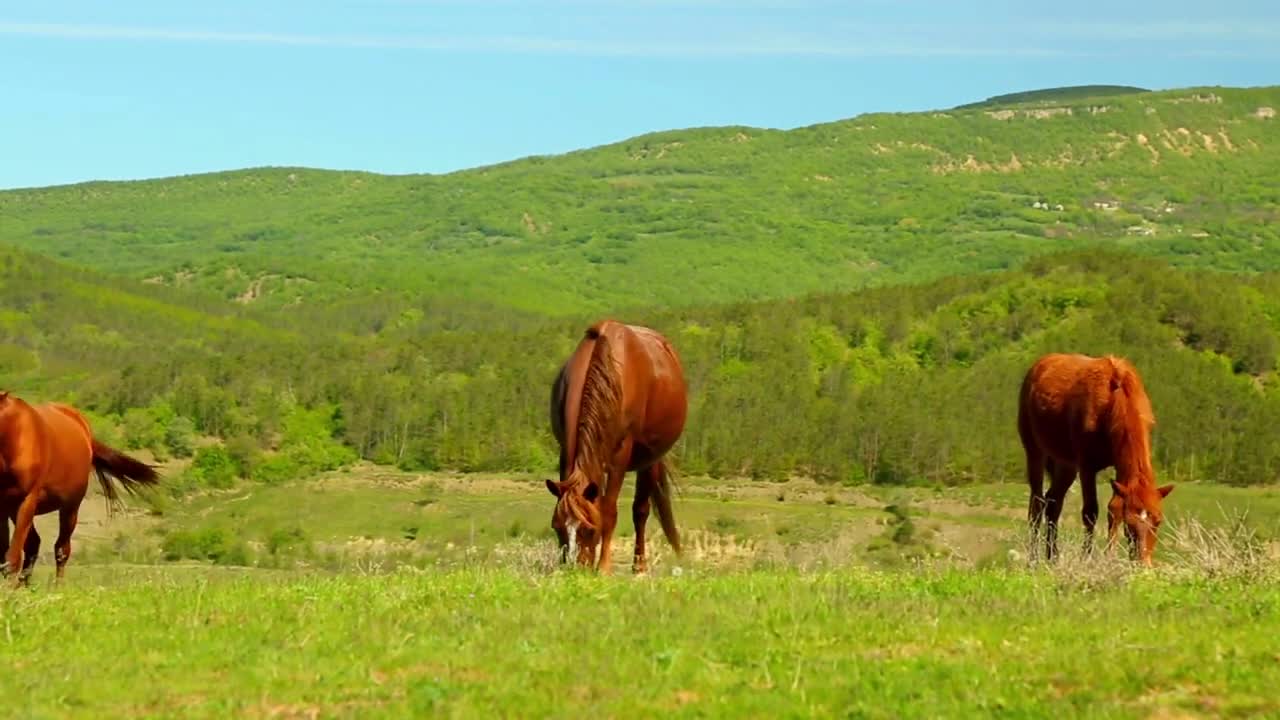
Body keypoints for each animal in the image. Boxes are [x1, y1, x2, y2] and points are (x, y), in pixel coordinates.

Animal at [0, 386, 160, 584]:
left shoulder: (26, 500)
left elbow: (12, 558)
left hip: (70, 507)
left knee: (61, 550)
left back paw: (57, 587)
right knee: (34, 545)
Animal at [550, 319, 691, 571]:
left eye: (589, 529)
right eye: (557, 527)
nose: (574, 569)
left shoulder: (620, 456)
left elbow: (609, 510)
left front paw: (604, 567)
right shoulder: (566, 449)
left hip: (650, 459)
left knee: (641, 510)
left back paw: (639, 566)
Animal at [1013, 351, 1172, 563]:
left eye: (1158, 521)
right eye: (1130, 524)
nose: (1143, 562)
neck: (1114, 401)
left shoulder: (1120, 466)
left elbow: (1114, 507)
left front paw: (1109, 556)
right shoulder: (1087, 467)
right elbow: (1090, 512)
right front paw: (1087, 559)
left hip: (1066, 464)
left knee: (1053, 502)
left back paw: (1052, 558)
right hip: (1034, 451)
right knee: (1037, 504)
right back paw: (1033, 560)